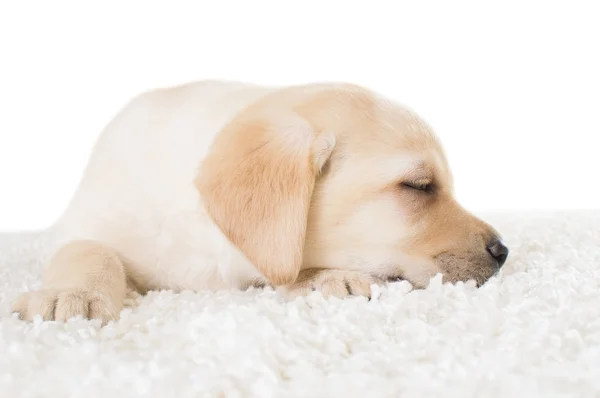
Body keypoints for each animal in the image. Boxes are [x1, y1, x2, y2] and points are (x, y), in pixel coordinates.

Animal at [10, 80, 506, 324]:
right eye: (419, 186)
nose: (503, 251)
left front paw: (326, 276)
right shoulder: (87, 221)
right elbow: (87, 251)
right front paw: (72, 293)